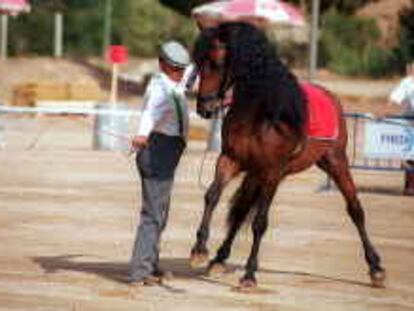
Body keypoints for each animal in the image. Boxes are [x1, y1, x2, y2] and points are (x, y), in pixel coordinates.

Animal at [189, 23, 386, 292]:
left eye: (216, 63)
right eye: (199, 62)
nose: (204, 108)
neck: (261, 114)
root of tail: (331, 96)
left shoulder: (272, 172)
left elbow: (260, 222)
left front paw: (249, 275)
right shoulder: (231, 160)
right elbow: (213, 196)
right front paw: (199, 250)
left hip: (335, 161)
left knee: (355, 210)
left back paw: (376, 268)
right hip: (257, 174)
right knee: (240, 211)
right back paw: (219, 259)